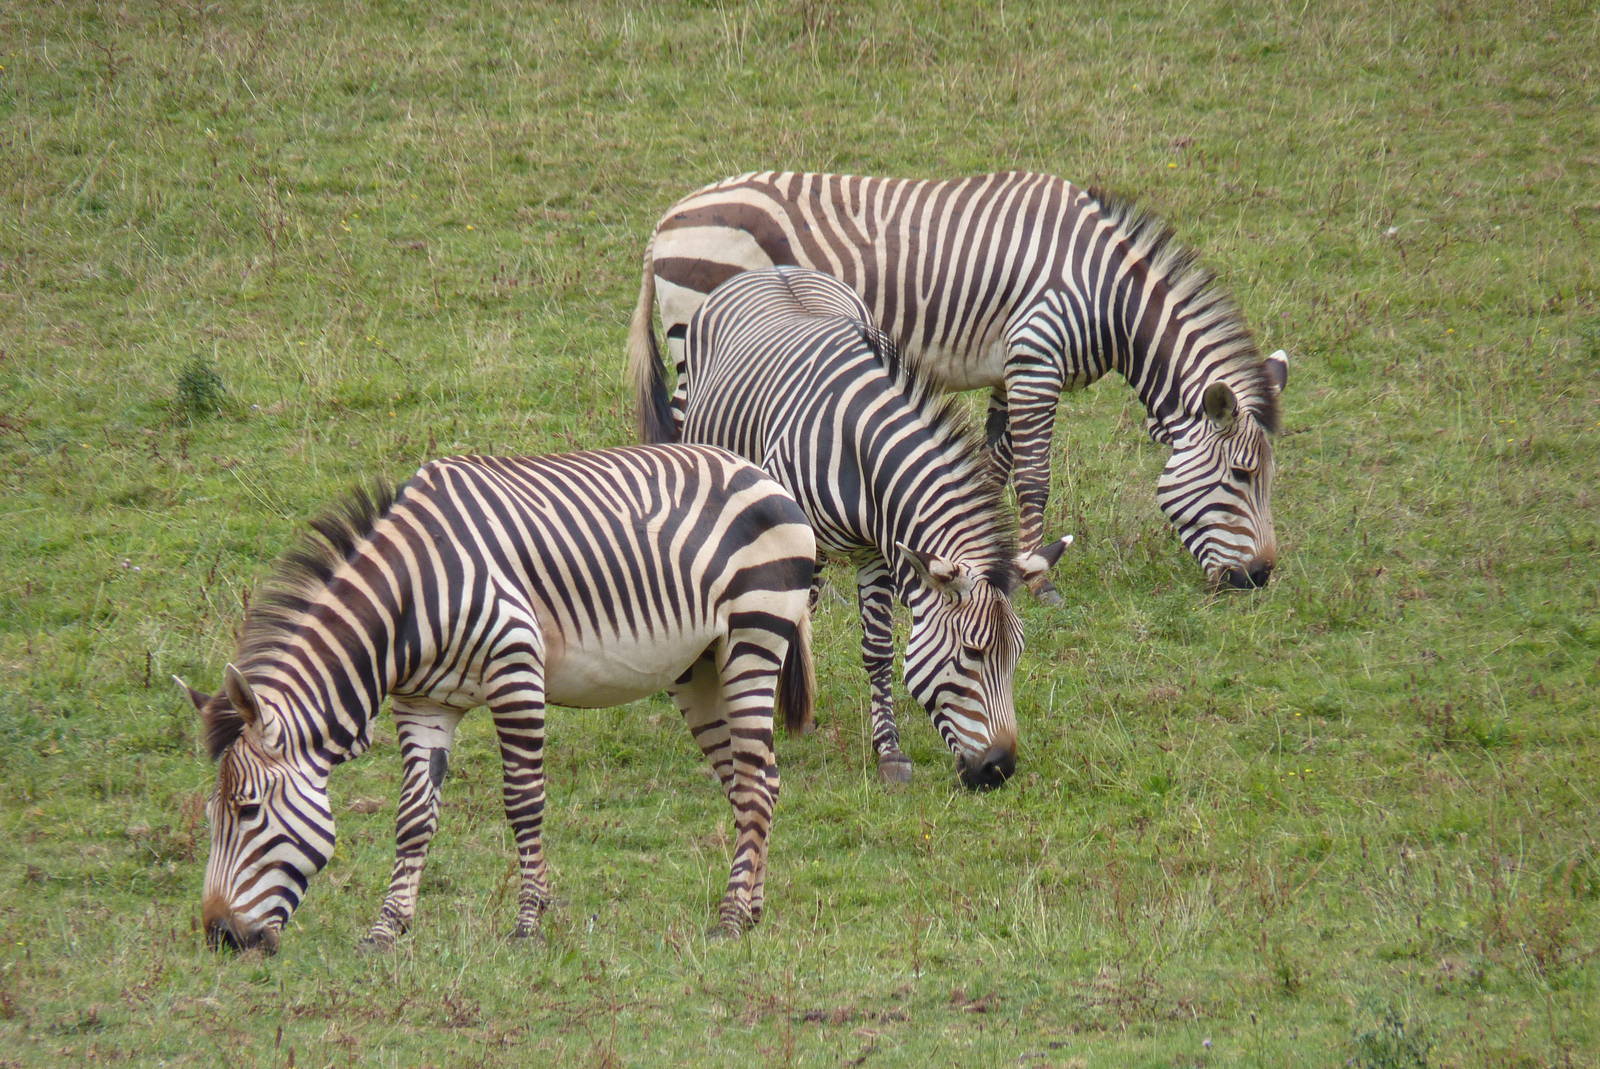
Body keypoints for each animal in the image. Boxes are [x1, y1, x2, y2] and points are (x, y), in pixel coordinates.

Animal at [178, 444, 817, 953]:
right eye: (210, 816)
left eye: (248, 811)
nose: (220, 936)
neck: (408, 600)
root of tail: (756, 471)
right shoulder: (423, 703)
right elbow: (413, 817)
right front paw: (387, 929)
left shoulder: (515, 669)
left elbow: (523, 801)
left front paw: (529, 923)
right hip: (699, 667)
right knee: (757, 782)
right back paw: (751, 910)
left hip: (753, 637)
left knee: (754, 783)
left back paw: (730, 920)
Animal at [629, 170, 1288, 598]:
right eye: (1241, 476)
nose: (1258, 578)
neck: (1109, 297)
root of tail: (667, 220)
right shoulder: (1037, 357)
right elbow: (1034, 477)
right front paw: (1041, 580)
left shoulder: (1008, 370)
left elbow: (995, 468)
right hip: (697, 341)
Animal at [632, 265, 1071, 787]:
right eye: (972, 653)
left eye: (1016, 656)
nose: (999, 769)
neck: (858, 450)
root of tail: (774, 269)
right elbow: (789, 622)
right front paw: (782, 715)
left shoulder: (877, 551)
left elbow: (878, 648)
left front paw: (889, 751)